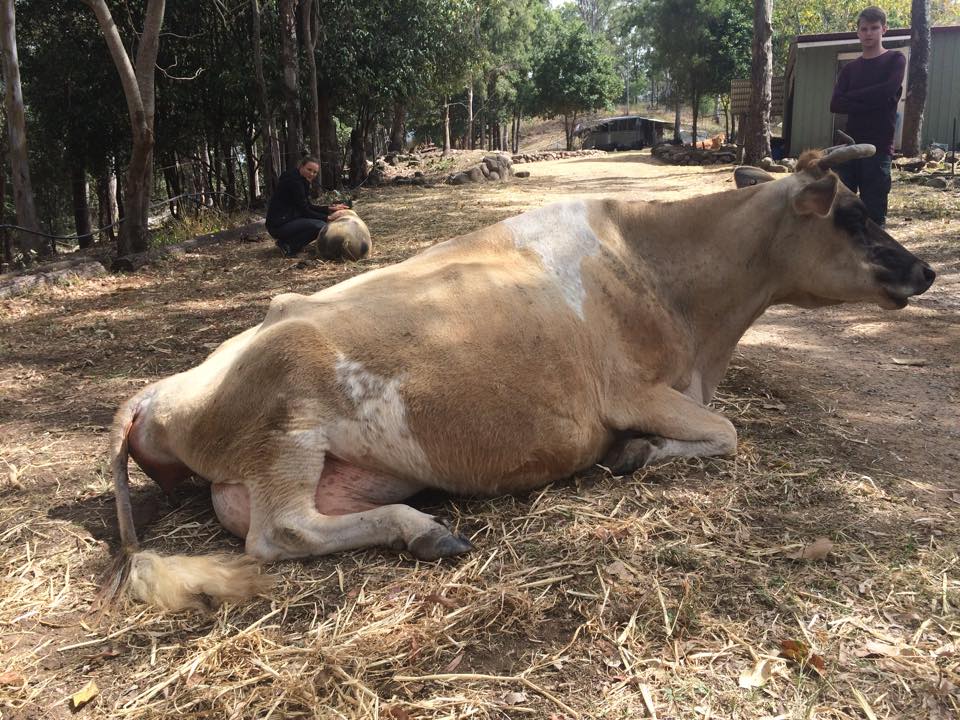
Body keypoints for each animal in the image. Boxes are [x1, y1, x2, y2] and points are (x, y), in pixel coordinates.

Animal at [105, 143, 928, 612]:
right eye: (853, 216)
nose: (924, 269)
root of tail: (152, 391)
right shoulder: (634, 391)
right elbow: (727, 432)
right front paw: (633, 452)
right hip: (288, 418)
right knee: (278, 533)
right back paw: (426, 531)